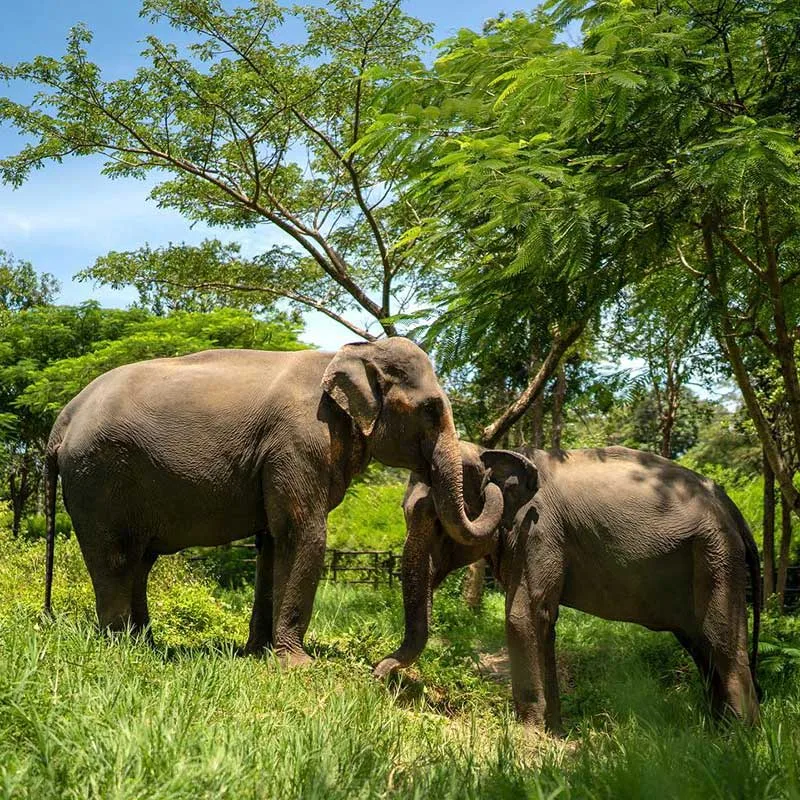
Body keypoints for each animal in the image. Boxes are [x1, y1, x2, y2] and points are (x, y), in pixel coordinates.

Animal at [43, 339, 503, 665]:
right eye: (431, 410)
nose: (489, 474)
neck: (354, 349)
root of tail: (63, 419)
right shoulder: (300, 443)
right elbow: (303, 534)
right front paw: (296, 666)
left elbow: (272, 541)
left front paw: (257, 655)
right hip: (99, 476)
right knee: (116, 557)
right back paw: (123, 649)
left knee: (140, 560)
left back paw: (147, 645)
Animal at [374, 442, 761, 731]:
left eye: (440, 522)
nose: (380, 675)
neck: (494, 452)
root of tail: (730, 506)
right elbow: (542, 622)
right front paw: (554, 730)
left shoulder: (539, 530)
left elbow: (522, 617)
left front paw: (528, 733)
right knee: (700, 646)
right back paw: (716, 733)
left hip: (716, 554)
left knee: (720, 643)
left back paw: (739, 741)